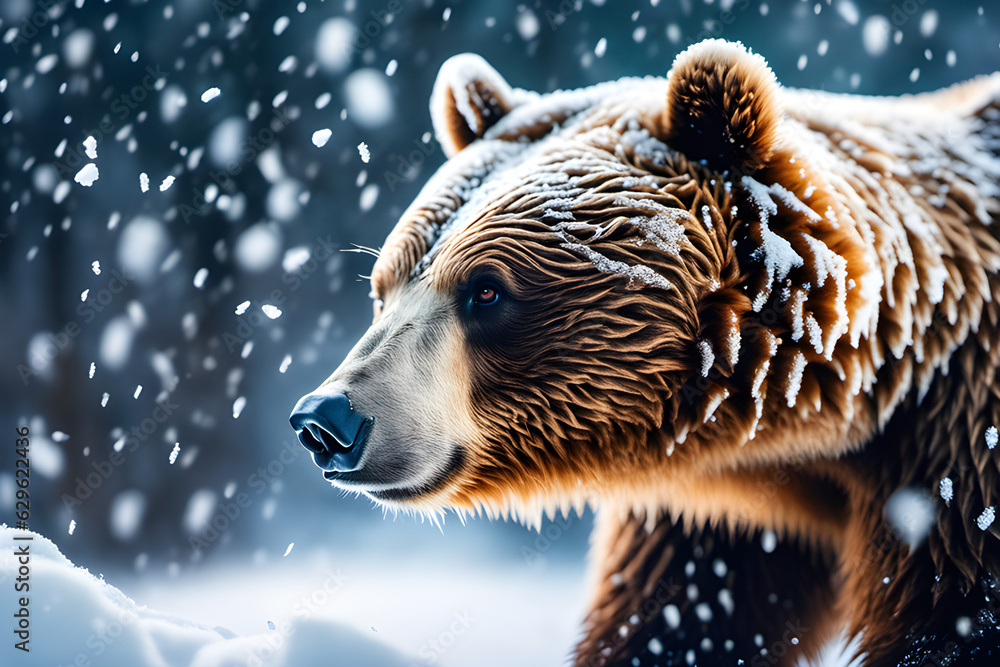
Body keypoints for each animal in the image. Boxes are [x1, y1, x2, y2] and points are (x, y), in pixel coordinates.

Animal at [289, 40, 1000, 666]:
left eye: (485, 290)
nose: (326, 419)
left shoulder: (957, 460)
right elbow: (679, 624)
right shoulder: (722, 518)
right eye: (383, 288)